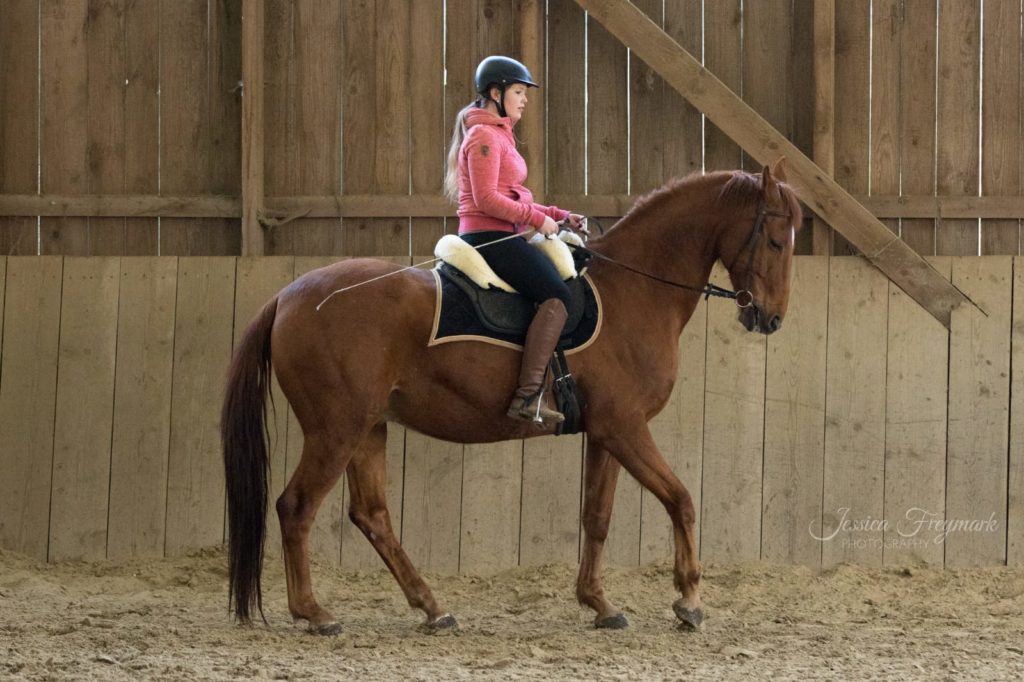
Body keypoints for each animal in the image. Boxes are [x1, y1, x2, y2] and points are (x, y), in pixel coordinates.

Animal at [222, 159, 802, 634]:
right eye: (776, 241)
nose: (771, 319)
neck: (632, 292)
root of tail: (290, 295)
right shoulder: (626, 427)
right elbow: (681, 499)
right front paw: (689, 600)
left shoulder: (607, 432)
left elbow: (597, 515)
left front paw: (600, 604)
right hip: (335, 429)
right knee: (297, 507)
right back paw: (315, 613)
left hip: (368, 426)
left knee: (372, 515)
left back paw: (432, 609)